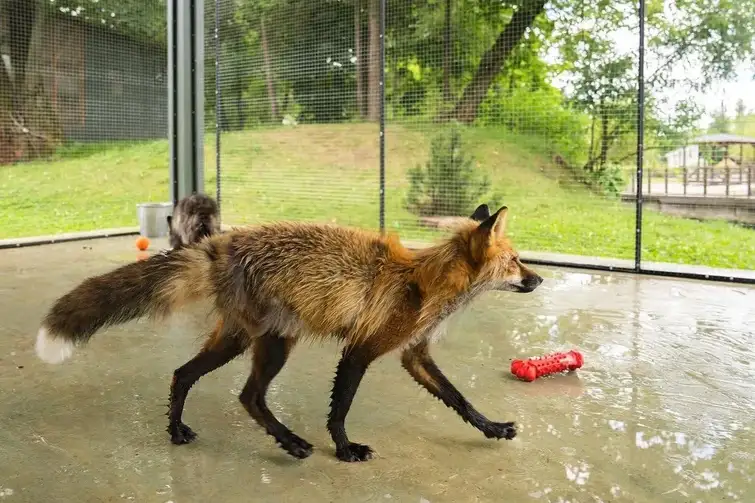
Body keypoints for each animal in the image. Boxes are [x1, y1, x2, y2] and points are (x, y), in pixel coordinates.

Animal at [34, 203, 543, 463]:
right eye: (517, 261)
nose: (539, 280)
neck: (425, 284)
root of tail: (219, 243)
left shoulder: (412, 354)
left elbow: (459, 399)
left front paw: (493, 429)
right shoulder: (361, 349)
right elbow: (340, 409)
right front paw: (344, 449)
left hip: (240, 340)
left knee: (184, 375)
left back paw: (177, 430)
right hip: (274, 344)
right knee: (248, 397)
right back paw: (291, 442)